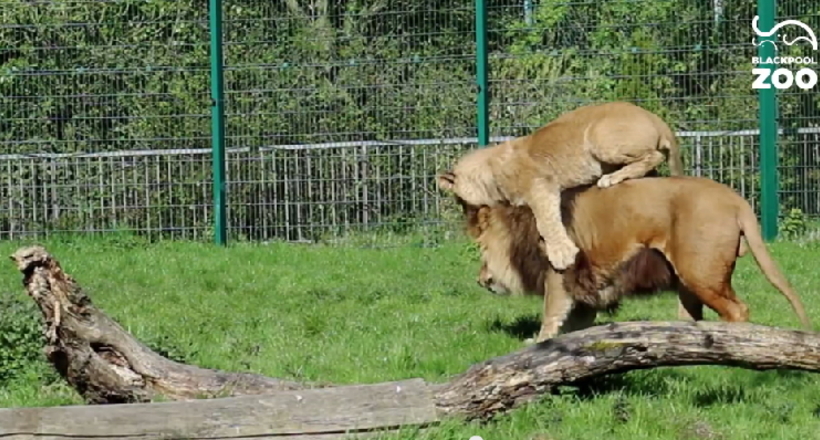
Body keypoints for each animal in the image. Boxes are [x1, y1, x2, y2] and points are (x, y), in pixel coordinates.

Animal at [438, 174, 812, 342]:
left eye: (482, 251)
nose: (481, 279)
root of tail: (736, 199)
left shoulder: (559, 274)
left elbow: (550, 315)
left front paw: (538, 343)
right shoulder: (586, 286)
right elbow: (576, 323)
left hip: (702, 275)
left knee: (738, 311)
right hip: (688, 283)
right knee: (692, 318)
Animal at [442, 101, 684, 272]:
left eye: (460, 201)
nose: (468, 223)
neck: (491, 172)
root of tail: (657, 119)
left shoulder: (541, 186)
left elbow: (546, 222)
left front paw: (562, 255)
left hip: (599, 136)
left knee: (654, 156)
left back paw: (610, 178)